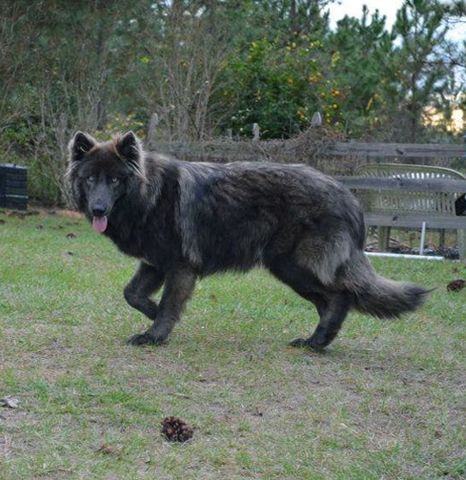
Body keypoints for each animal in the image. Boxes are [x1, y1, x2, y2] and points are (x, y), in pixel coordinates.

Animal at [66, 131, 430, 348]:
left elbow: (169, 304)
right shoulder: (154, 263)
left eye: (115, 180)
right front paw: (151, 313)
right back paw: (317, 341)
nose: (98, 209)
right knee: (329, 301)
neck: (149, 197)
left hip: (294, 267)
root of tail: (348, 197)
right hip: (291, 270)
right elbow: (131, 294)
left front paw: (155, 333)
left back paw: (317, 342)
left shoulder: (179, 267)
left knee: (339, 296)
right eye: (91, 179)